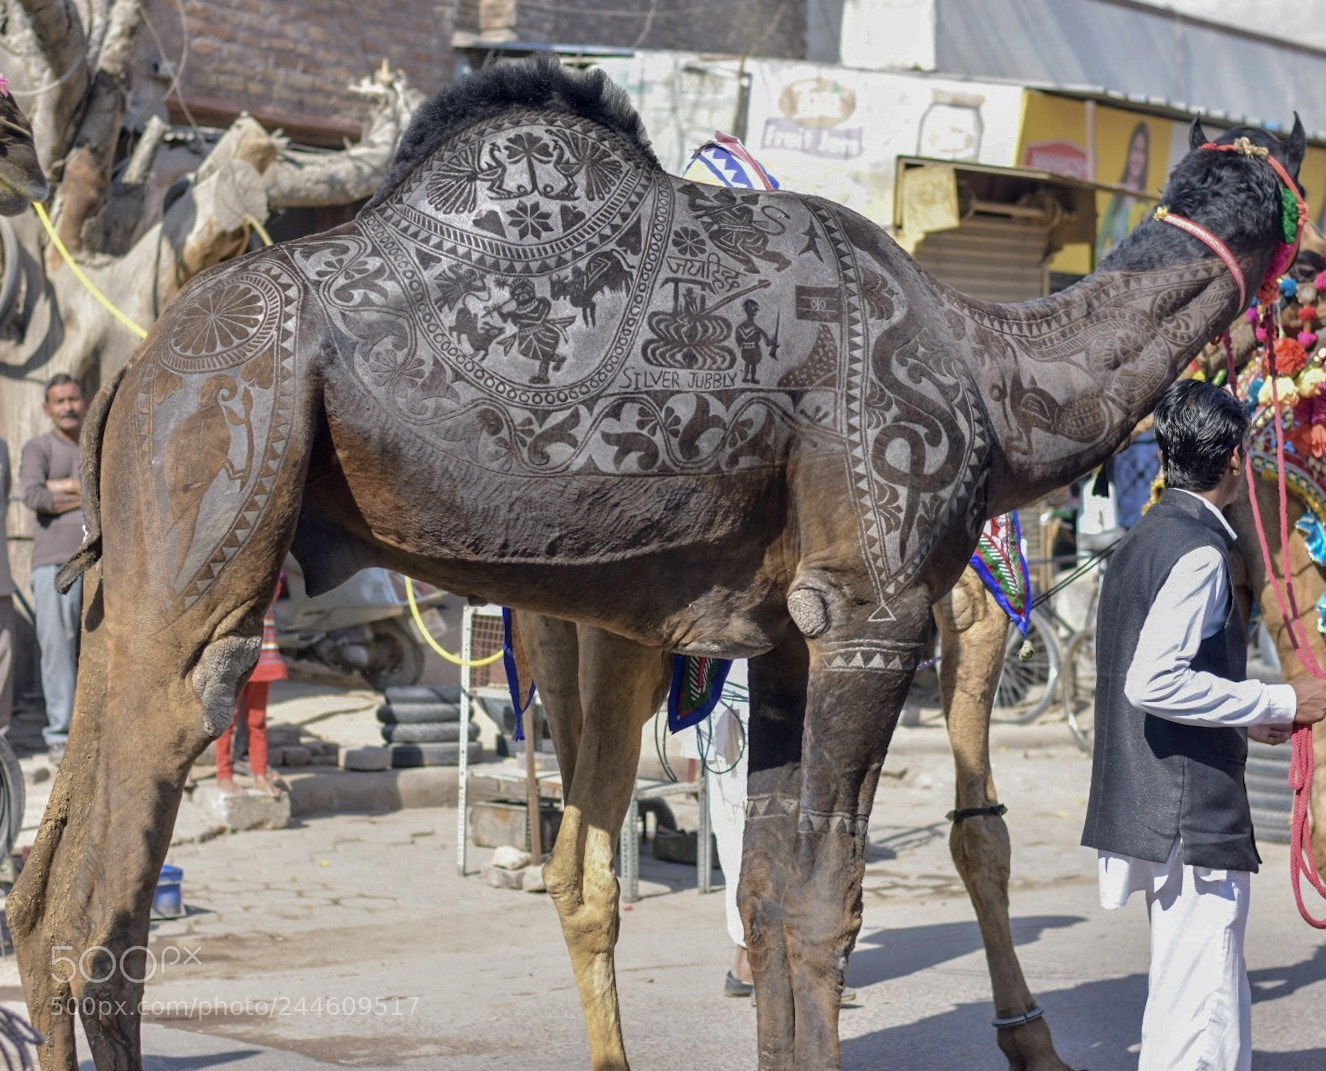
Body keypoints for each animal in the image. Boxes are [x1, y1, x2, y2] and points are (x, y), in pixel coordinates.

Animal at [4, 55, 1305, 1071]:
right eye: (1301, 210)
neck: (998, 376)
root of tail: (136, 366)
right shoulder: (876, 610)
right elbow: (828, 905)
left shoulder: (790, 633)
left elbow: (771, 896)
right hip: (215, 481)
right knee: (102, 914)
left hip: (131, 573)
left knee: (40, 894)